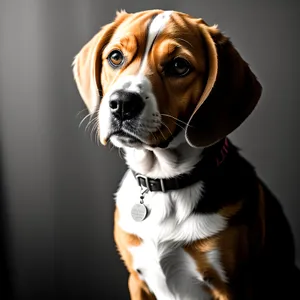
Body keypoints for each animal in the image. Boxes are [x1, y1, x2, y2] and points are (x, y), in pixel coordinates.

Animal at [73, 9, 300, 300]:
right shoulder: (137, 281)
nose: (122, 103)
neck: (165, 182)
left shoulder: (232, 287)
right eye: (115, 57)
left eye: (179, 66)